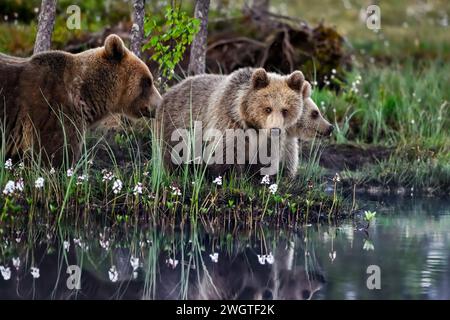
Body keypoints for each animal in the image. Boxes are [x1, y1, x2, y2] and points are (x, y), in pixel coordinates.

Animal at [156, 68, 306, 178]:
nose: (275, 129)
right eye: (268, 108)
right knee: (173, 154)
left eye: (285, 110)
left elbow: (267, 158)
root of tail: (171, 89)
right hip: (175, 127)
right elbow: (227, 152)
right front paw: (233, 177)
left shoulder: (272, 140)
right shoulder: (229, 122)